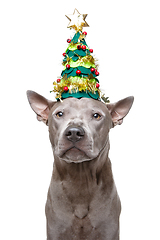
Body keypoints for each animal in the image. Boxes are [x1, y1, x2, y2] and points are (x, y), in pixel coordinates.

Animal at [26, 90, 134, 240]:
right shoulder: (56, 229)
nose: (74, 132)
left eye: (96, 115)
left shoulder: (108, 229)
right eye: (59, 114)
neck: (80, 177)